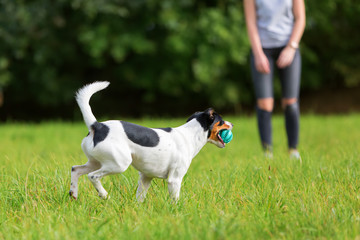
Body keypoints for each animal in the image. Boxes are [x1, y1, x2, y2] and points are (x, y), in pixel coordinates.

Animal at [69, 81, 233, 202]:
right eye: (221, 121)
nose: (231, 124)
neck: (190, 134)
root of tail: (98, 126)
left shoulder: (145, 177)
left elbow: (140, 197)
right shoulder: (174, 179)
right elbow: (175, 199)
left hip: (96, 162)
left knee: (76, 170)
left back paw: (73, 194)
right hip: (119, 164)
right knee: (92, 176)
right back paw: (104, 195)